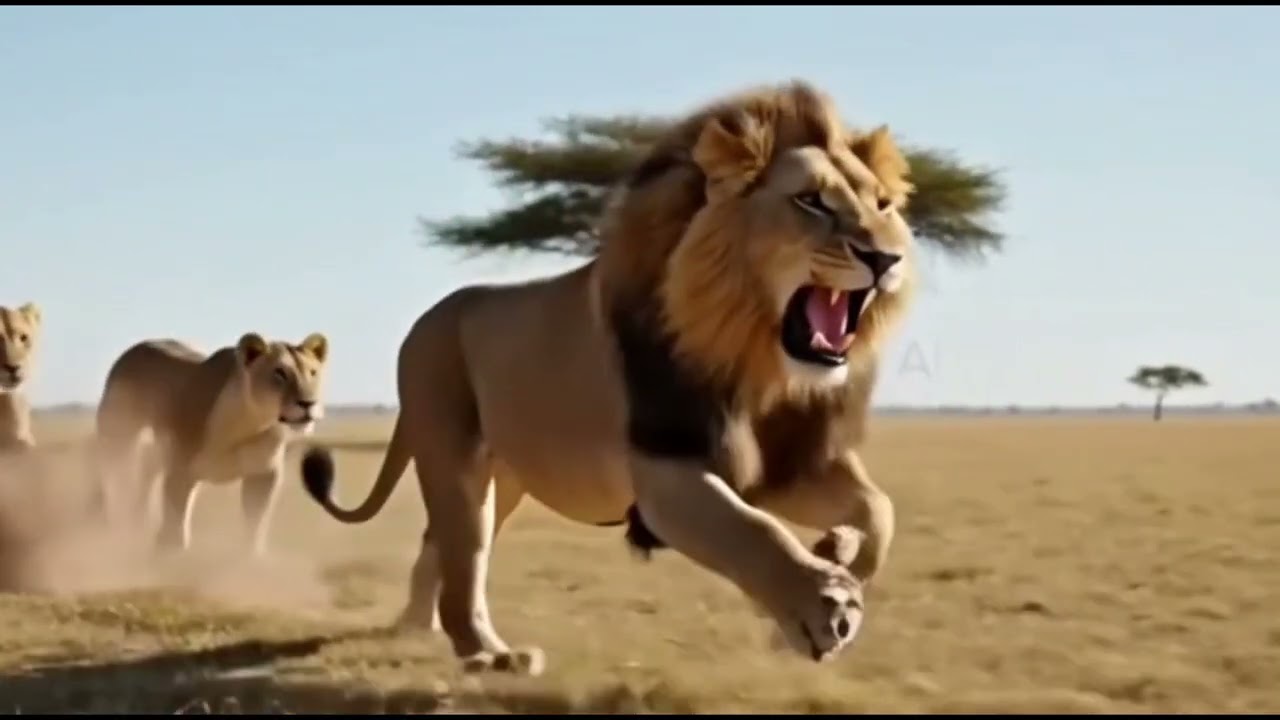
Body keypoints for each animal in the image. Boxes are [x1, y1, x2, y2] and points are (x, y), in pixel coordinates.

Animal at [93, 332, 329, 555]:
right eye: (279, 373)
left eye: (312, 373)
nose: (308, 403)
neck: (249, 423)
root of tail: (134, 349)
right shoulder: (181, 468)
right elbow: (176, 518)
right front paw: (170, 553)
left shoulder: (263, 473)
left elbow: (255, 521)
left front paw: (251, 557)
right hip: (118, 438)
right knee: (110, 478)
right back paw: (107, 526)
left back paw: (139, 522)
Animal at [300, 80, 917, 675]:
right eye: (810, 201)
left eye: (883, 205)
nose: (886, 260)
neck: (760, 364)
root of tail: (426, 320)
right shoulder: (666, 470)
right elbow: (751, 530)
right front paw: (821, 608)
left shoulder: (787, 466)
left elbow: (879, 511)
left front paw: (837, 553)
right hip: (454, 458)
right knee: (464, 555)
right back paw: (488, 654)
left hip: (505, 480)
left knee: (444, 548)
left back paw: (423, 627)